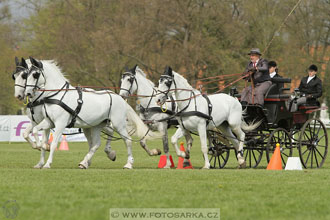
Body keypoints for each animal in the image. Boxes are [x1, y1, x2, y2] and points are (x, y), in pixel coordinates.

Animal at [24, 56, 156, 168]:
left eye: (35, 74)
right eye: (27, 74)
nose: (27, 93)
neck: (57, 95)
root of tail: (119, 98)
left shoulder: (60, 123)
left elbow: (54, 144)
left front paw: (47, 163)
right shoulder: (49, 121)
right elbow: (35, 130)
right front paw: (40, 146)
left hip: (118, 124)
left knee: (127, 140)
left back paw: (128, 164)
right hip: (97, 125)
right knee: (96, 144)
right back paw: (84, 162)